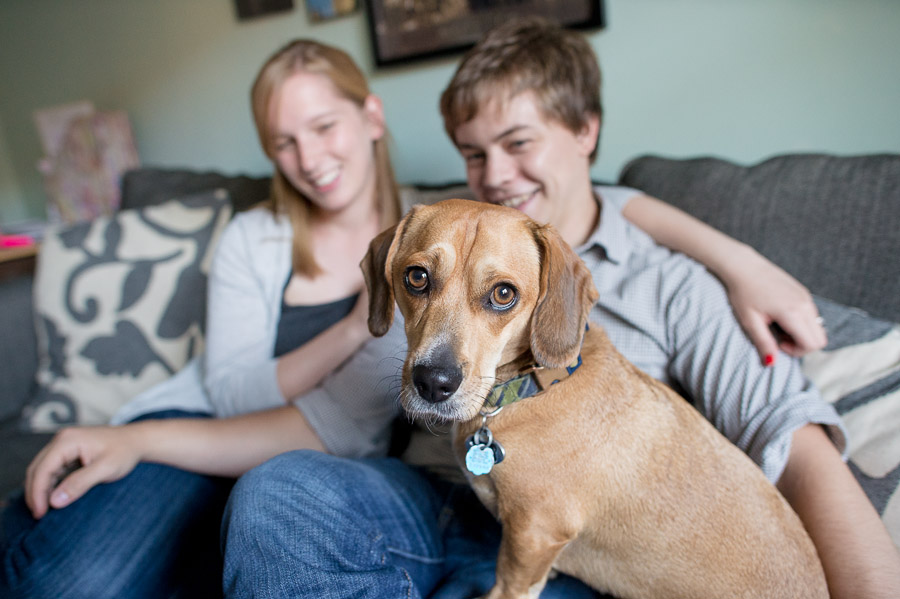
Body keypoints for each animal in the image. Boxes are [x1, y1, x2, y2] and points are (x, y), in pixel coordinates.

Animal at [360, 200, 828, 599]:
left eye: (504, 294)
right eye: (416, 277)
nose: (433, 382)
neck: (534, 386)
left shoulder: (532, 536)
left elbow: (508, 587)